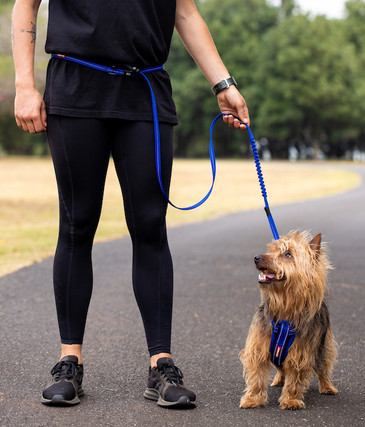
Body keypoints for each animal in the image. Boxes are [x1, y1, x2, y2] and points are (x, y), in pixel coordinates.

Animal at [237, 234, 336, 412]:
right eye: (272, 250)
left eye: (287, 254)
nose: (256, 257)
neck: (285, 309)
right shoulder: (258, 348)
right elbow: (256, 377)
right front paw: (252, 399)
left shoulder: (300, 353)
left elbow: (294, 379)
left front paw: (290, 400)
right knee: (280, 368)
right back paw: (278, 380)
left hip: (322, 345)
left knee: (323, 366)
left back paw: (327, 387)